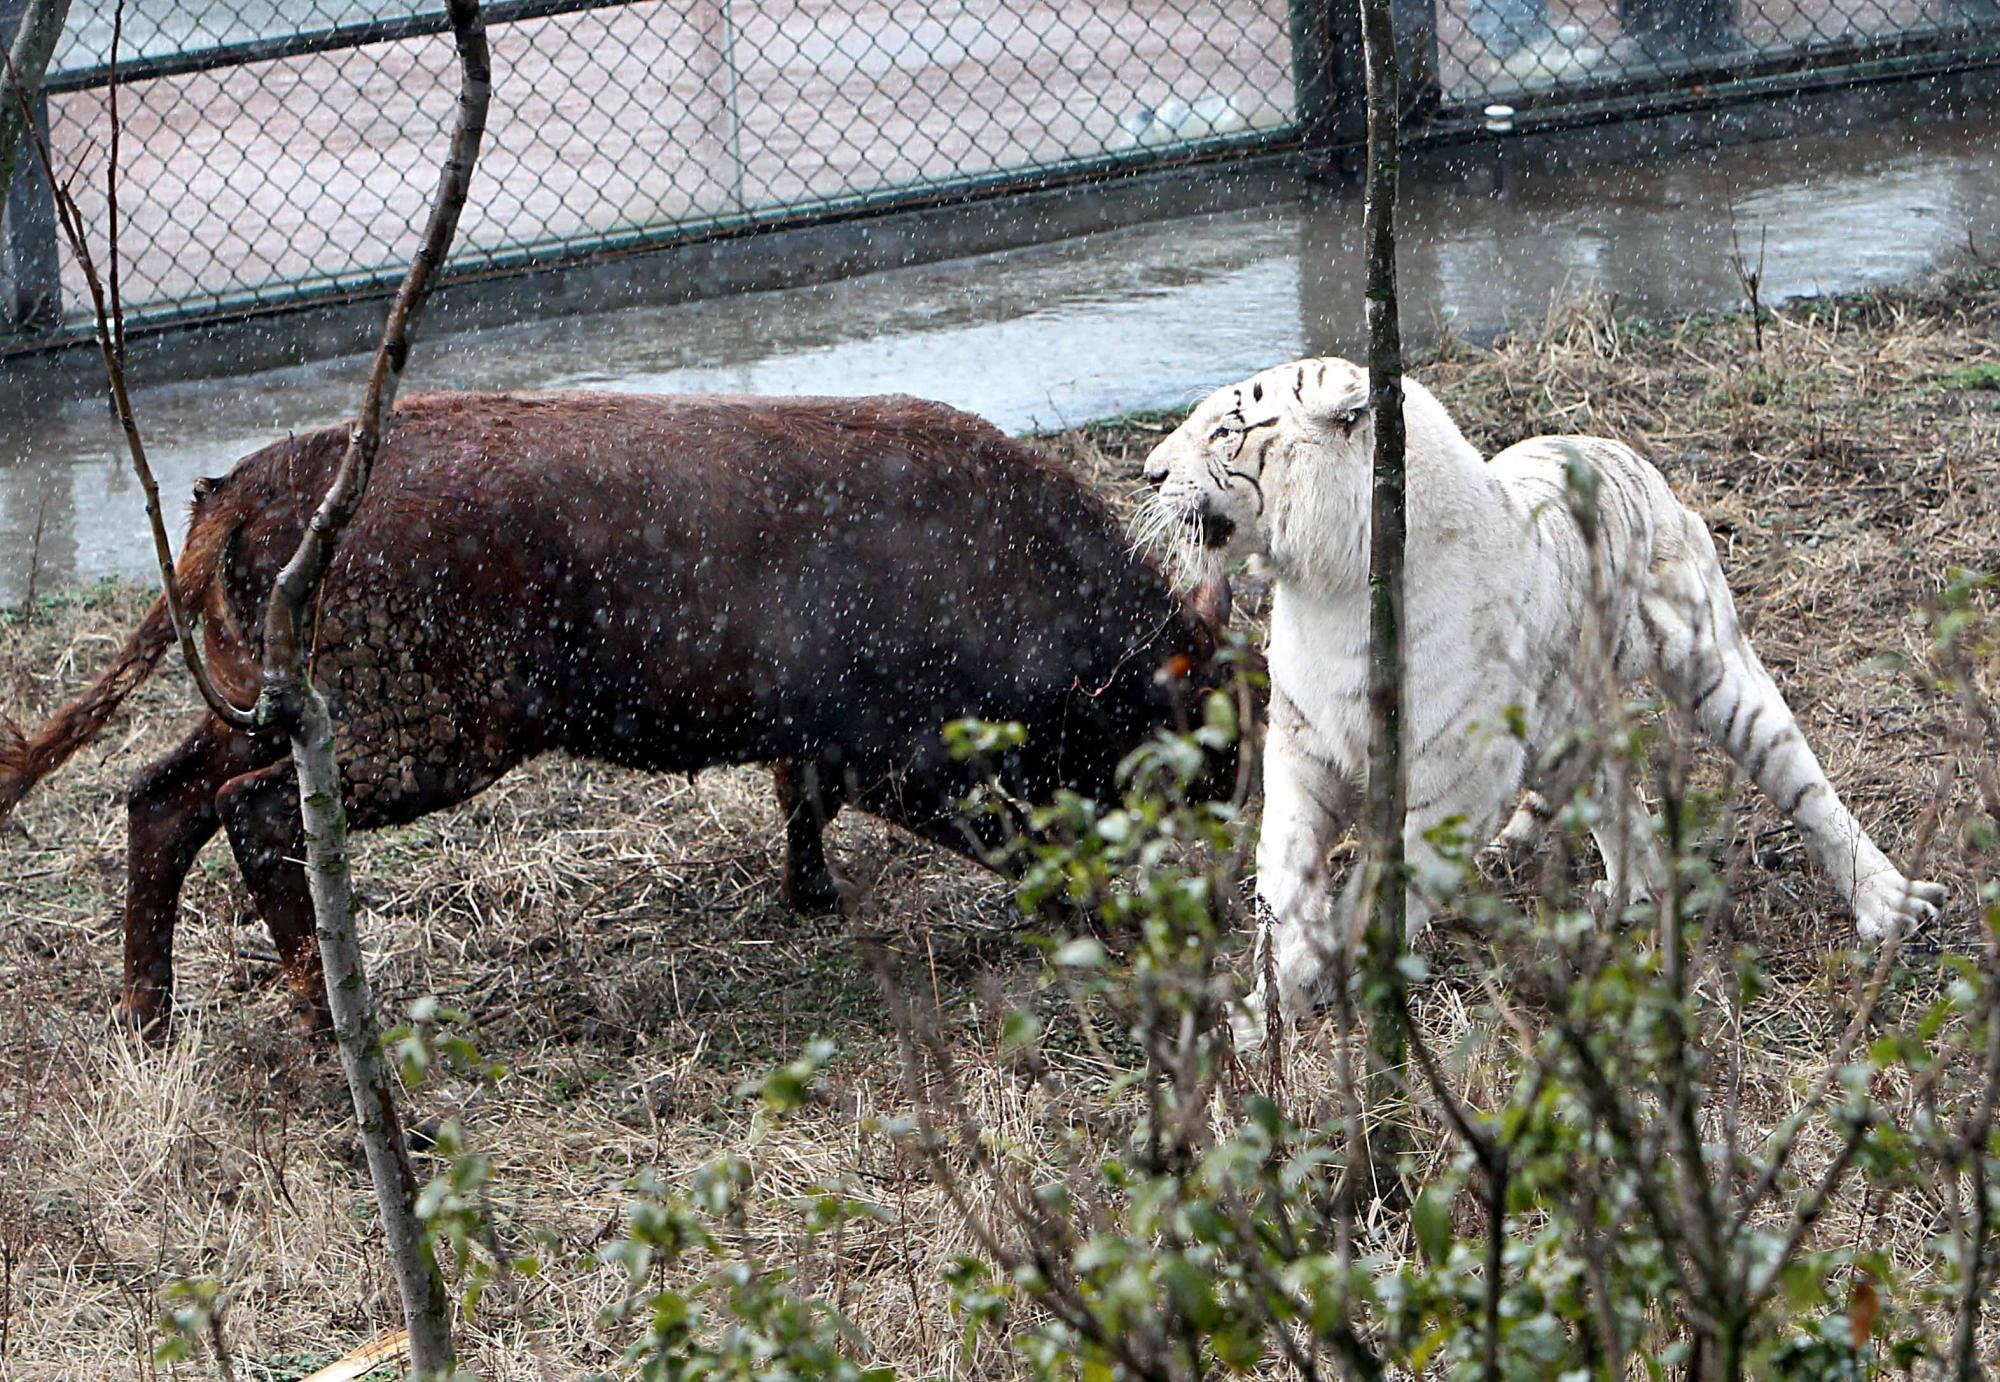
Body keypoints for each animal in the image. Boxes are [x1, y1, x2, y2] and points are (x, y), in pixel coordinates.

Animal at [1144, 362, 1936, 1040]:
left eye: (1225, 429)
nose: (1148, 473)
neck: (1326, 593)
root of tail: (1611, 444)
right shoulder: (1303, 752)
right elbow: (1283, 873)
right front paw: (1266, 1005)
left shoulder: (1453, 787)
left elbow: (1368, 902)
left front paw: (1315, 977)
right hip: (1571, 716)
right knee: (1617, 797)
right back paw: (1634, 894)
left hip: (1717, 670)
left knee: (1803, 785)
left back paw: (1885, 904)